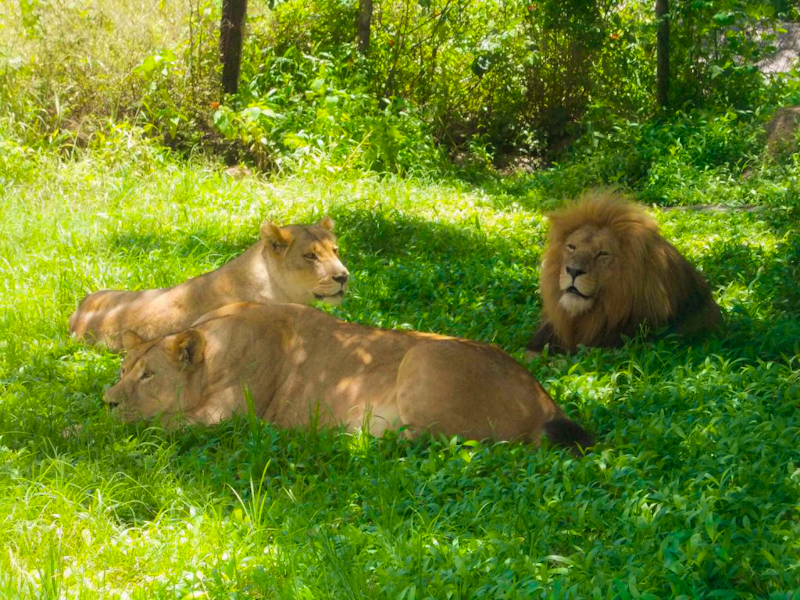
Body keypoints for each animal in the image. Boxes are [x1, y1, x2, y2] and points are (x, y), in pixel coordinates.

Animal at [106, 302, 592, 452]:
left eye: (148, 376)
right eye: (124, 370)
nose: (107, 400)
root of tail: (543, 397)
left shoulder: (229, 418)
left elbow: (157, 424)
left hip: (425, 354)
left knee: (441, 438)